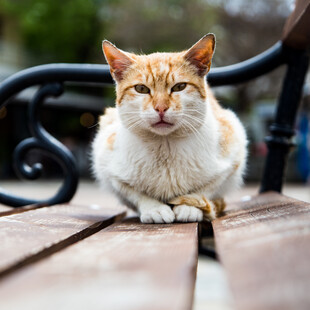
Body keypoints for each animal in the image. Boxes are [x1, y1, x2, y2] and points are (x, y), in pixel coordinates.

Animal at [91, 34, 247, 223]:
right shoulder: (106, 165)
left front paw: (189, 207)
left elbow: (206, 189)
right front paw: (155, 209)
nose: (160, 108)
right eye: (141, 88)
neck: (164, 145)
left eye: (179, 87)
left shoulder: (233, 152)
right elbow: (135, 193)